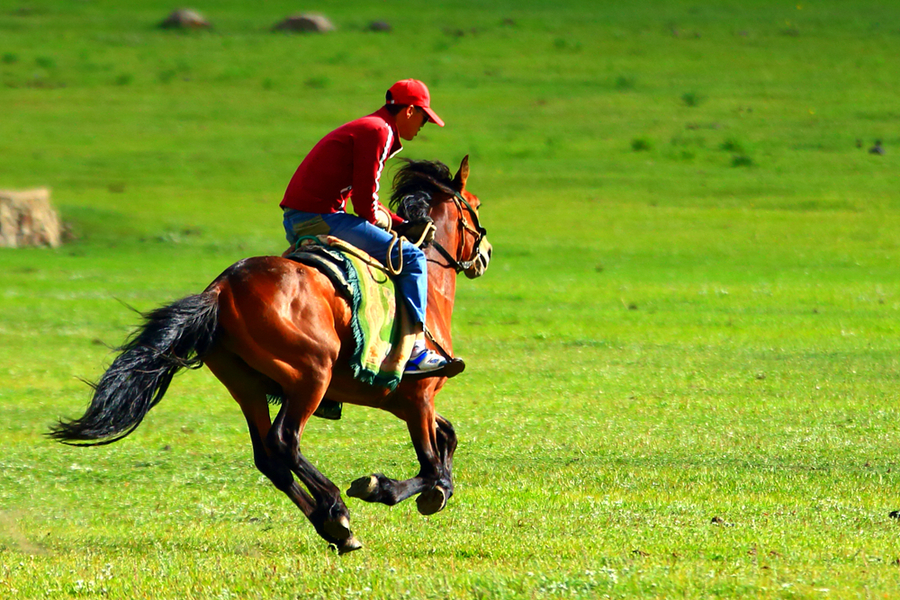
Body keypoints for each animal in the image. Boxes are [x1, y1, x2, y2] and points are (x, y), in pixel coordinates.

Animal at [49, 157, 492, 556]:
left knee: (268, 456)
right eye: (475, 203)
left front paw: (435, 489)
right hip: (310, 378)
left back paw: (334, 528)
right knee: (284, 441)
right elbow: (431, 462)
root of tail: (221, 289)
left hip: (247, 386)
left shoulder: (397, 398)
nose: (486, 252)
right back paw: (336, 509)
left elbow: (448, 437)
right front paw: (395, 488)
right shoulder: (418, 396)